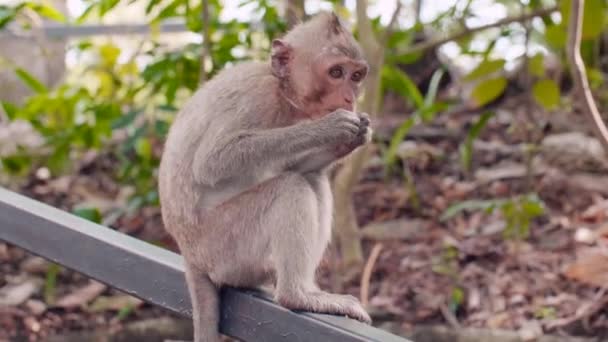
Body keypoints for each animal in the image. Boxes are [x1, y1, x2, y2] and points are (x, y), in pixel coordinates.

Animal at [158, 11, 370, 342]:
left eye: (356, 76)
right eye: (336, 72)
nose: (349, 99)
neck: (283, 92)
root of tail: (190, 256)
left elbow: (299, 165)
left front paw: (352, 138)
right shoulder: (257, 98)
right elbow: (212, 162)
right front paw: (330, 128)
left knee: (312, 179)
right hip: (223, 245)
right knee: (290, 187)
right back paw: (297, 295)